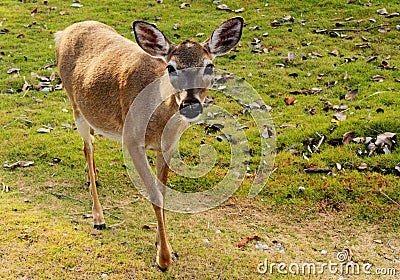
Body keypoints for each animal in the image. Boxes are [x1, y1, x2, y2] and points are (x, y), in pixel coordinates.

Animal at [55, 17, 244, 270]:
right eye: (171, 67)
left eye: (209, 66)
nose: (190, 104)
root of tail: (63, 32)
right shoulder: (132, 141)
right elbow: (154, 195)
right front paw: (163, 258)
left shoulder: (168, 146)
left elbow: (162, 193)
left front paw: (165, 247)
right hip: (74, 103)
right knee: (88, 146)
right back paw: (98, 217)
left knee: (92, 140)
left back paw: (91, 176)